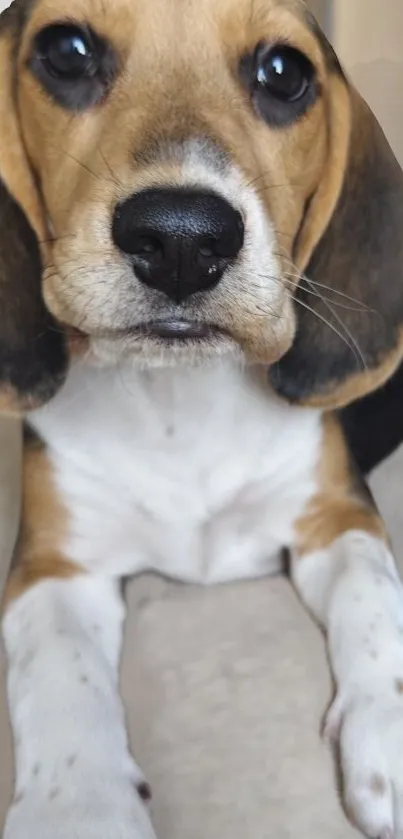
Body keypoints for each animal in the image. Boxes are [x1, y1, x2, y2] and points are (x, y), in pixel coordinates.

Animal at [2, 1, 403, 839]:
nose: (182, 239)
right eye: (67, 50)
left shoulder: (337, 515)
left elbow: (372, 594)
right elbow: (58, 670)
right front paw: (76, 806)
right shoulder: (52, 566)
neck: (176, 401)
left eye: (283, 72)